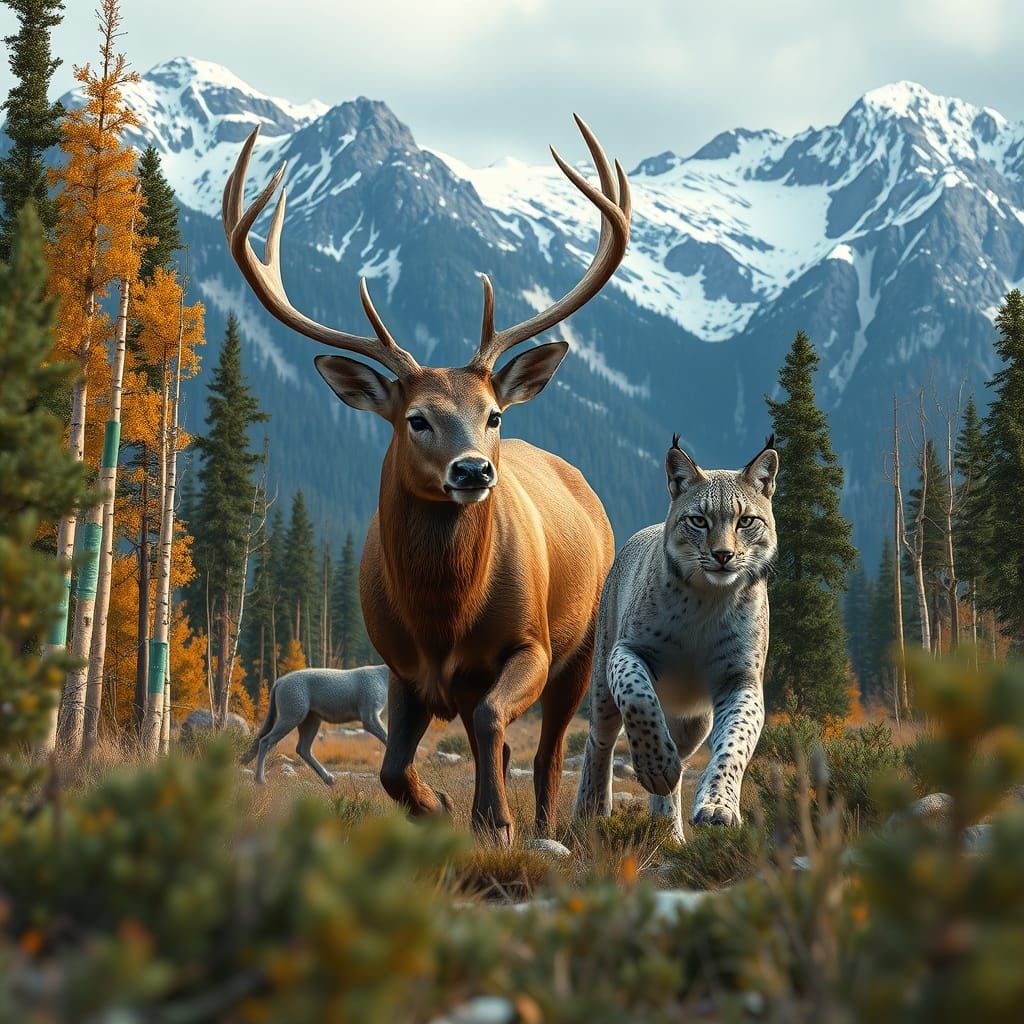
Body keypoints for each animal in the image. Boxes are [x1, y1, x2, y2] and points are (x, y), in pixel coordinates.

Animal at [223, 115, 630, 844]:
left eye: (493, 413)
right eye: (415, 419)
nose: (473, 469)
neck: (445, 618)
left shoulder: (529, 645)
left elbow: (497, 725)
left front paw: (495, 821)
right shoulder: (400, 669)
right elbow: (392, 768)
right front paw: (440, 807)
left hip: (584, 643)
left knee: (550, 748)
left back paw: (547, 822)